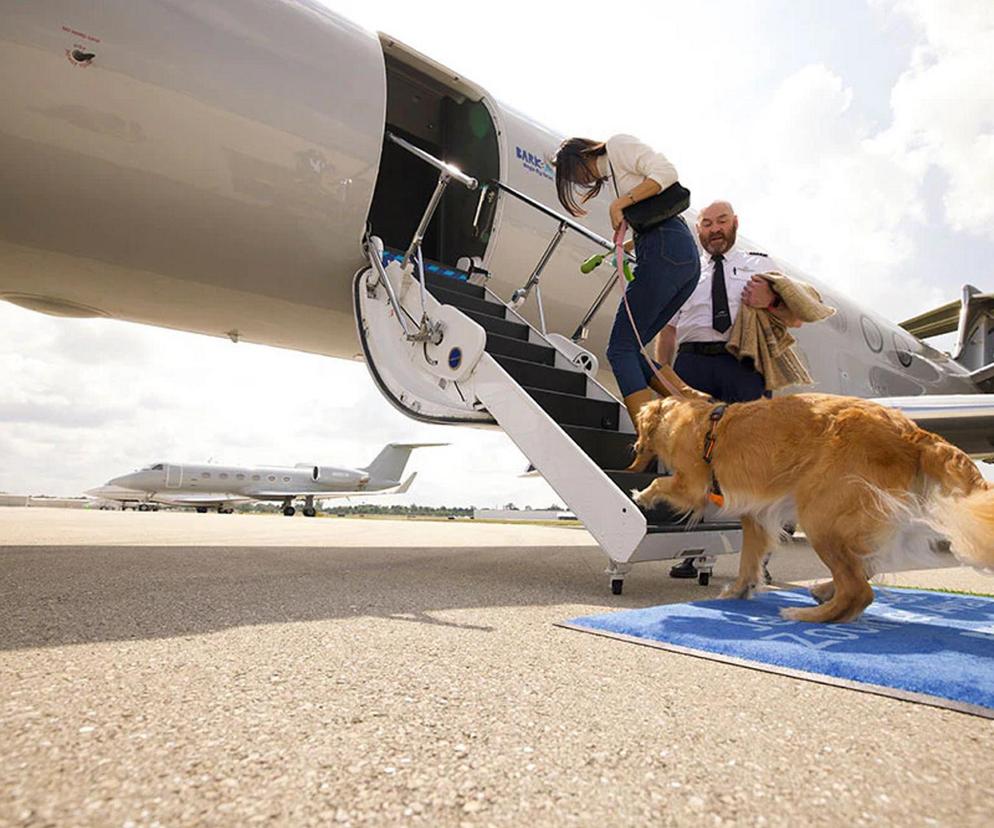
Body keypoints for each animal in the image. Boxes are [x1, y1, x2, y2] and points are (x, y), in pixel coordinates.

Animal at [632, 394, 988, 620]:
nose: (634, 448)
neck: (692, 418)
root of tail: (912, 432)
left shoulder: (692, 484)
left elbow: (663, 483)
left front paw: (642, 495)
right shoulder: (756, 514)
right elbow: (749, 559)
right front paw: (740, 590)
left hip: (821, 516)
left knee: (859, 590)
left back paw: (807, 614)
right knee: (866, 568)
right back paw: (823, 593)